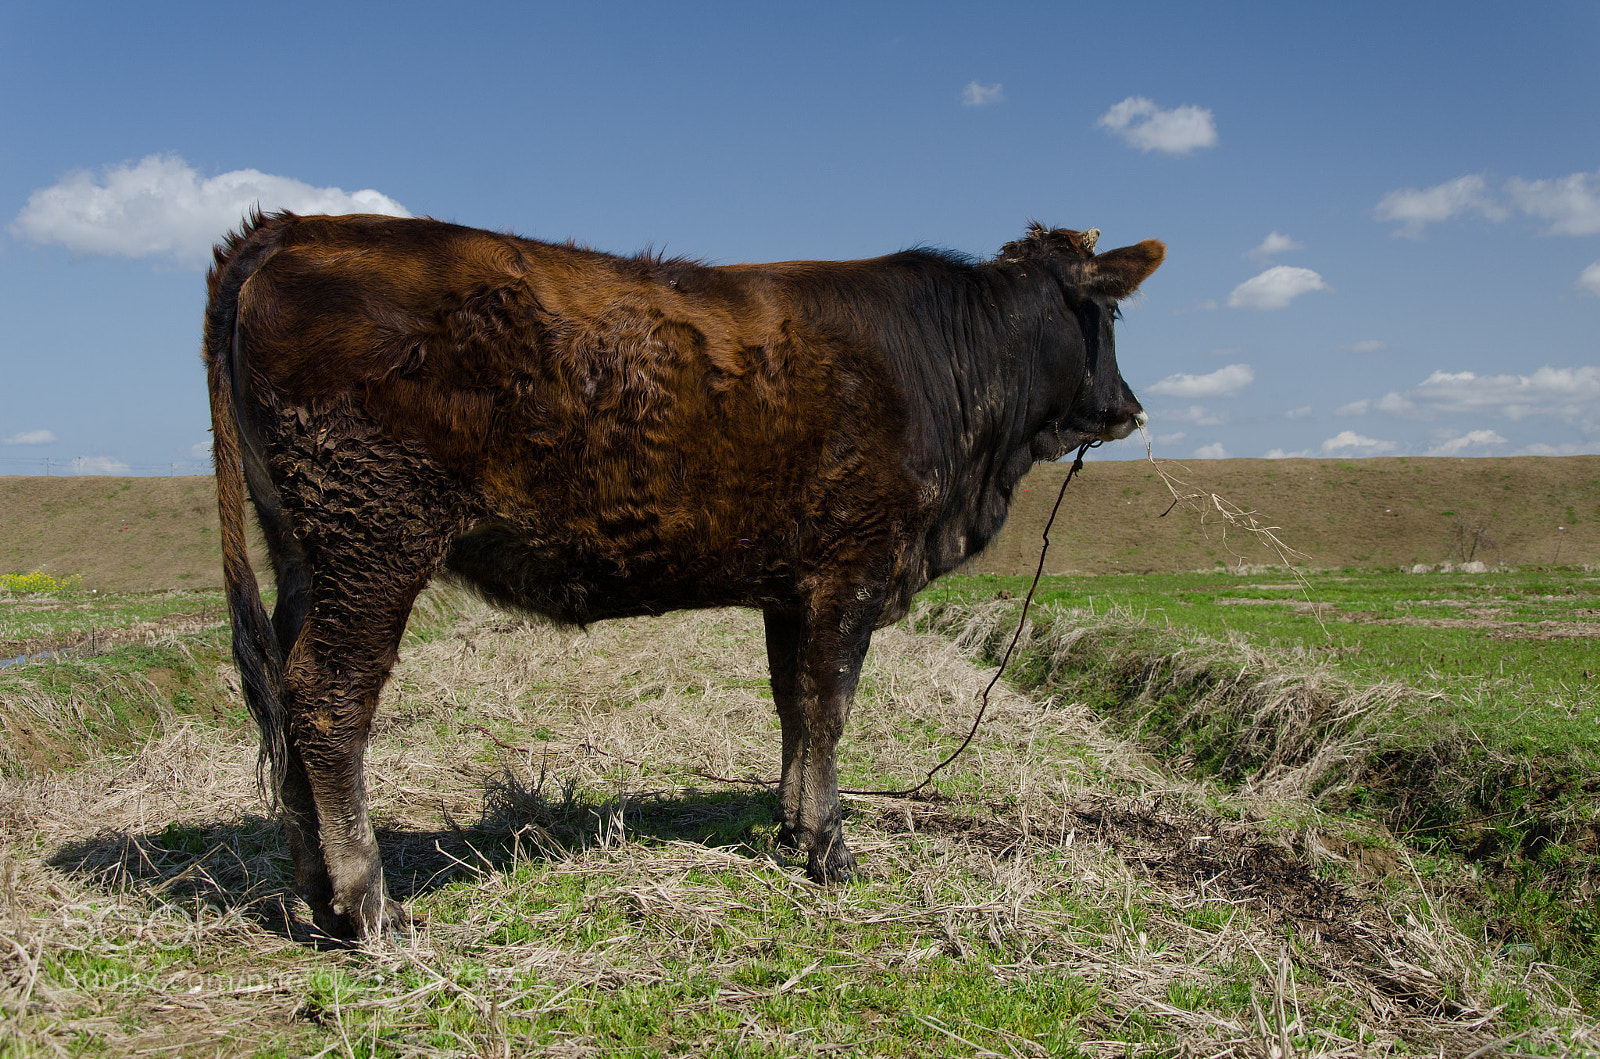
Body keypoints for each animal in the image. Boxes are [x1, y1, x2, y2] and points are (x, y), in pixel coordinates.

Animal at [204, 211, 1162, 940]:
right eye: (1107, 316)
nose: (1128, 407)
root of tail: (291, 227)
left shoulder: (790, 585)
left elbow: (792, 705)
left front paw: (790, 828)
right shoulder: (849, 566)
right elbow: (829, 704)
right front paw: (831, 849)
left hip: (306, 551)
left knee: (284, 694)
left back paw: (317, 895)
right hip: (374, 536)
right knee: (329, 700)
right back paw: (370, 905)